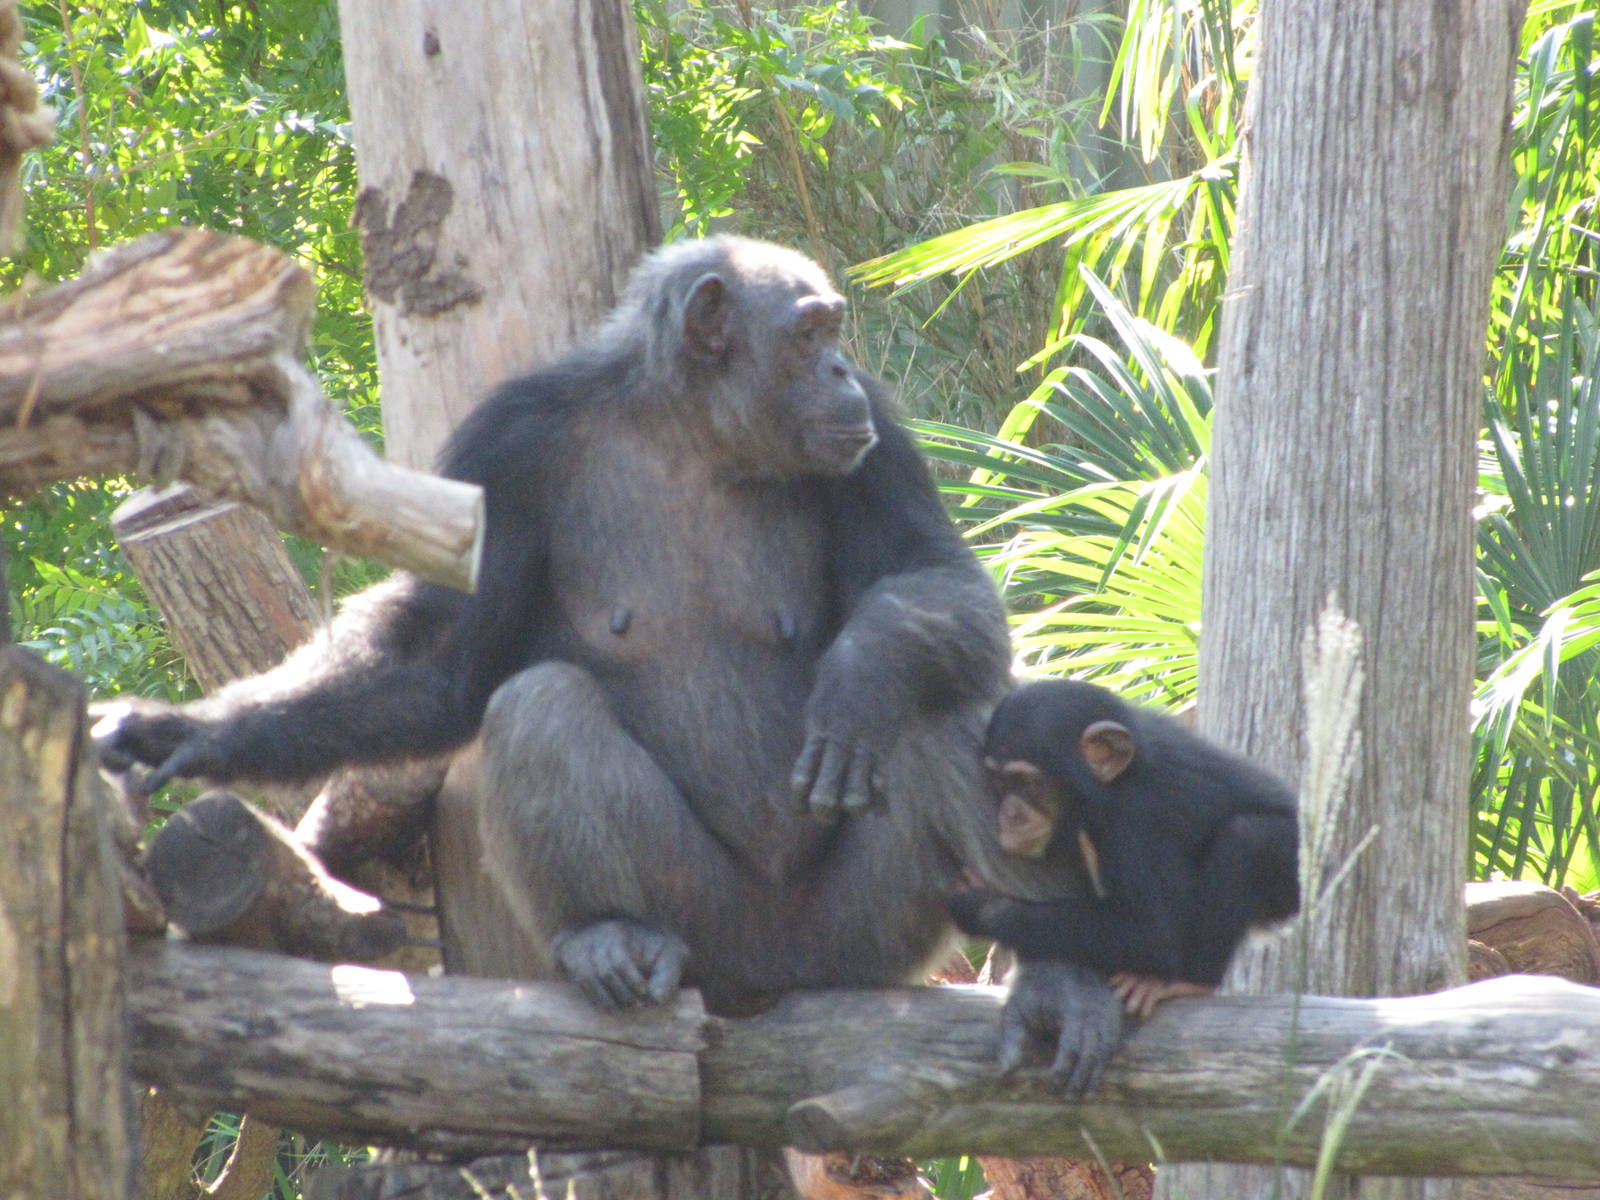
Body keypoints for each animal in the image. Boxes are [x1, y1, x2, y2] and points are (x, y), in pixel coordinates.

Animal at [96, 237, 1123, 1094]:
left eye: (833, 336)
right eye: (806, 335)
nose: (838, 369)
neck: (688, 428)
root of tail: (774, 976)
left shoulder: (882, 439)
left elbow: (939, 578)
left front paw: (860, 676)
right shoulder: (503, 449)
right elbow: (439, 650)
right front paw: (183, 731)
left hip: (870, 941)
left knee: (945, 712)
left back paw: (1061, 972)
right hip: (704, 921)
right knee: (537, 703)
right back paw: (606, 938)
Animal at [947, 678, 1299, 1016]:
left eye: (1026, 782)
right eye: (998, 781)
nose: (1010, 815)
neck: (1110, 784)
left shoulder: (1138, 817)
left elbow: (1152, 936)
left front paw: (978, 903)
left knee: (1247, 837)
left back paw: (1187, 981)